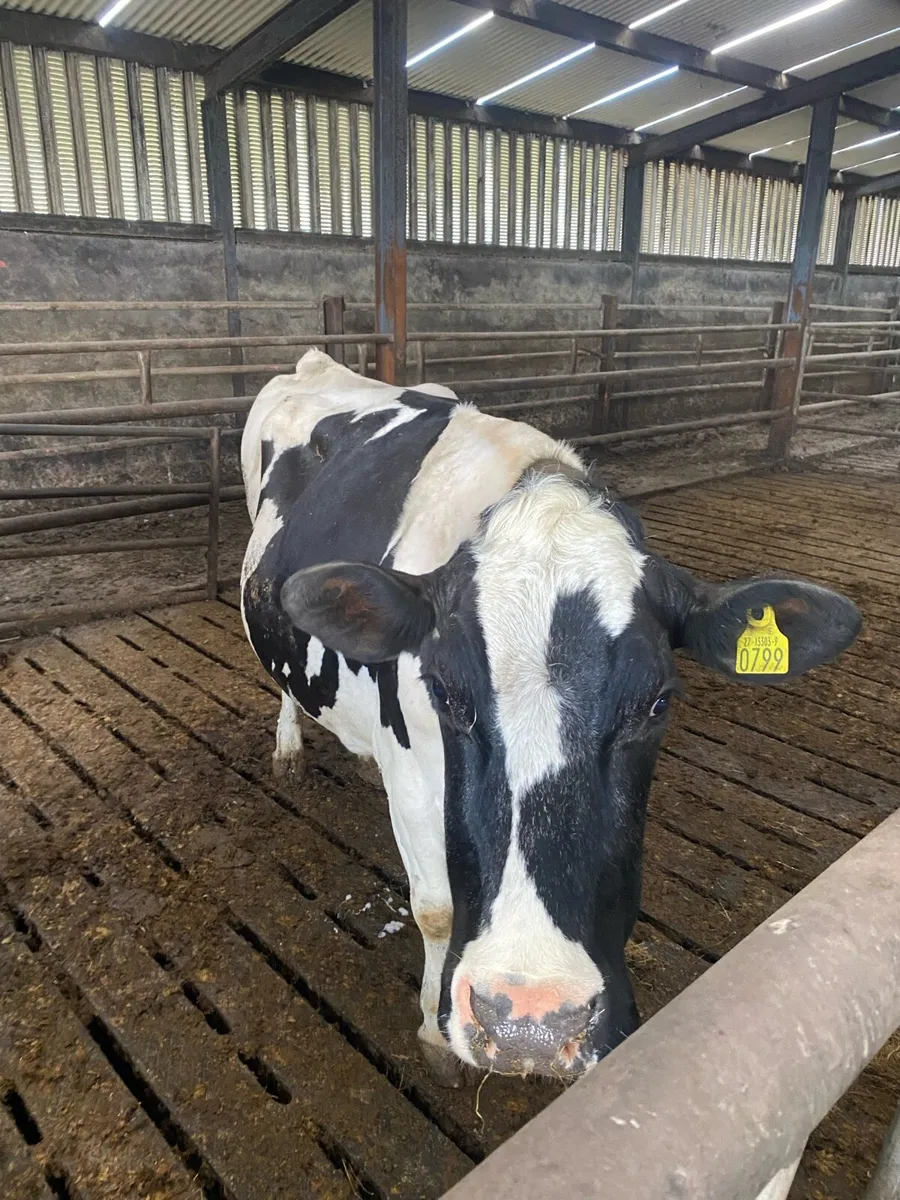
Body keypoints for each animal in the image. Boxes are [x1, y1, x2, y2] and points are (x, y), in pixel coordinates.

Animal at [240, 348, 861, 1087]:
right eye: (444, 694)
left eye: (658, 703)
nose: (532, 1023)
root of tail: (318, 362)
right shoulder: (413, 772)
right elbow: (437, 908)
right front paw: (433, 1035)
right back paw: (288, 750)